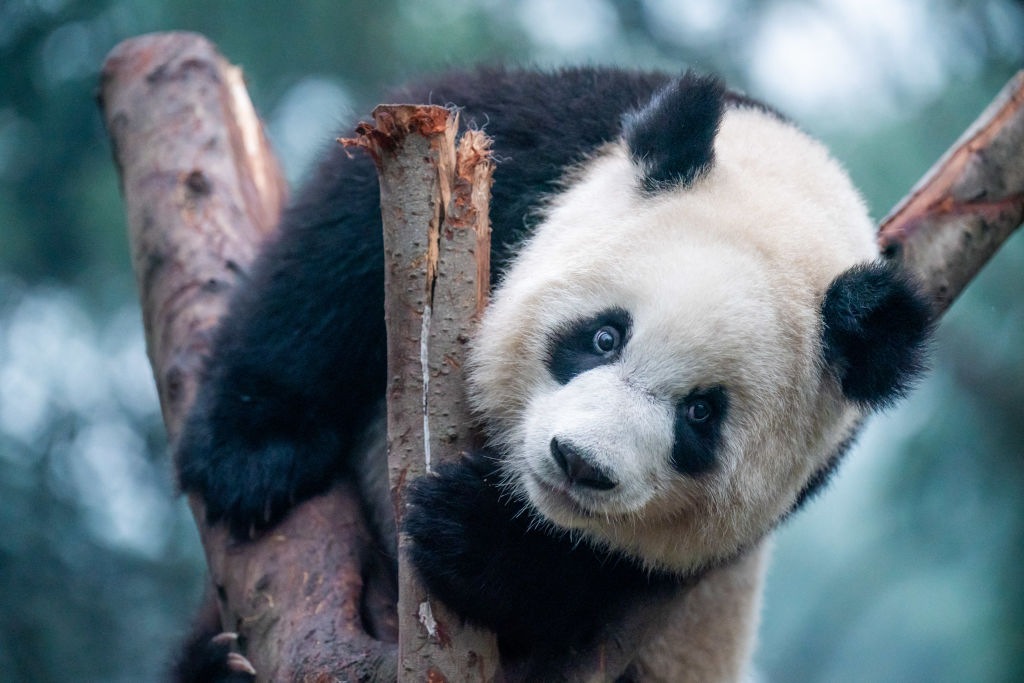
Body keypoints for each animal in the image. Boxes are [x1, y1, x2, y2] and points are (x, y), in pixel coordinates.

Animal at [176, 67, 933, 679]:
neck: (793, 184)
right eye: (603, 336)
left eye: (701, 413)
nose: (579, 462)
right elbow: (339, 246)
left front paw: (472, 532)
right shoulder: (548, 138)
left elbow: (603, 571)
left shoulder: (797, 482)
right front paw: (253, 456)